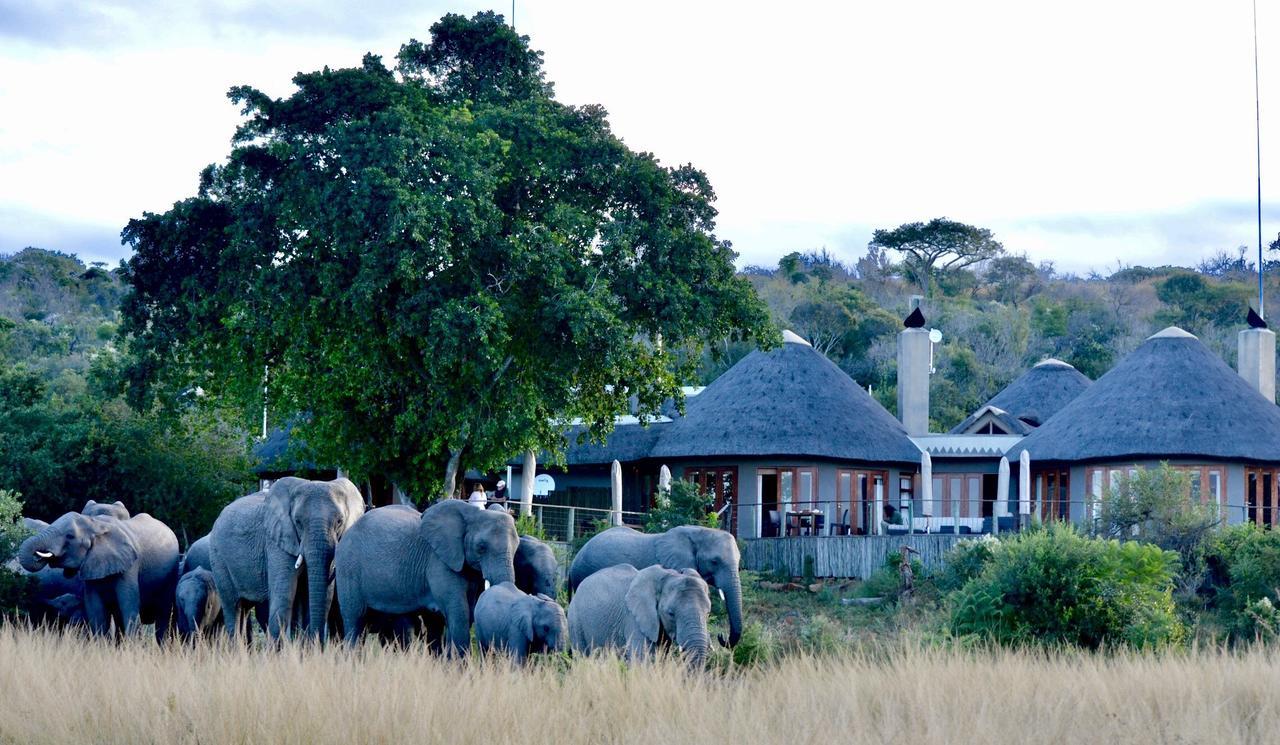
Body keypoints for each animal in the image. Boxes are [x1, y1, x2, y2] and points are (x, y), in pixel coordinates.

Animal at [18, 514, 180, 642]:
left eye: (70, 536)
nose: (39, 555)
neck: (95, 524)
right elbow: (94, 607)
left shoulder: (130, 566)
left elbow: (128, 602)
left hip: (169, 577)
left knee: (163, 613)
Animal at [207, 481, 363, 645]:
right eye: (298, 522)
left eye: (339, 522)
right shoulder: (276, 542)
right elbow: (284, 594)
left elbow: (325, 596)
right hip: (218, 558)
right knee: (233, 605)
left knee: (244, 608)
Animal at [340, 501, 524, 655]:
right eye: (481, 547)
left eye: (517, 546)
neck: (471, 513)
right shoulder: (439, 562)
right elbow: (460, 612)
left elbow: (467, 612)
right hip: (349, 567)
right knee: (354, 619)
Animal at [568, 565, 716, 670]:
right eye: (670, 614)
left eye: (708, 613)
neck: (667, 575)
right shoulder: (633, 619)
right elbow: (642, 660)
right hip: (575, 619)